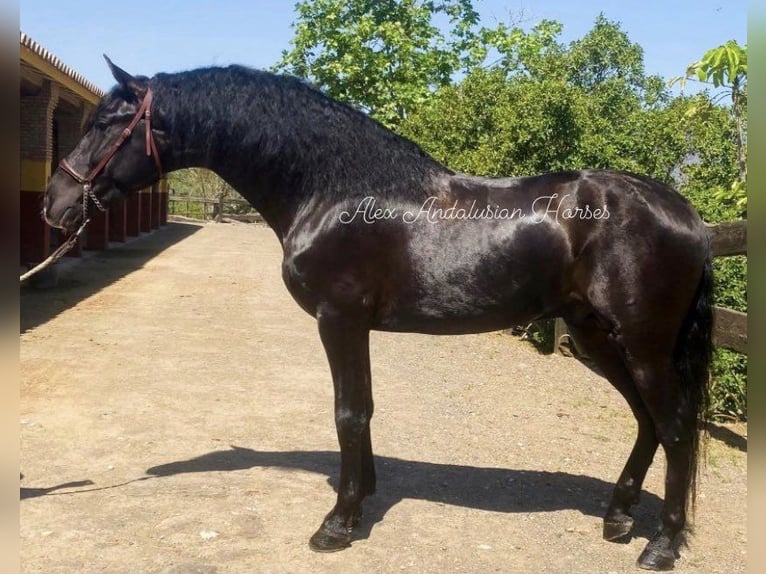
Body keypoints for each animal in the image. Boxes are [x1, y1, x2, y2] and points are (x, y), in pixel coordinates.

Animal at [43, 58, 712, 572]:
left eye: (107, 123)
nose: (55, 203)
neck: (335, 191)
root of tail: (684, 211)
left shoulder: (338, 319)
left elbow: (349, 413)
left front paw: (337, 524)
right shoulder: (353, 325)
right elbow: (361, 409)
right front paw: (359, 497)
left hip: (643, 345)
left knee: (677, 427)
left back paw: (660, 544)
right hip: (596, 337)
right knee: (648, 422)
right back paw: (618, 518)